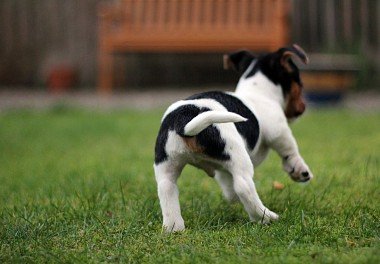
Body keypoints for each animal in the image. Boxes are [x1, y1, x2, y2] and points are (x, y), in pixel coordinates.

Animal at [153, 44, 314, 232]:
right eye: (300, 83)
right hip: (238, 156)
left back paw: (174, 228)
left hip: (167, 164)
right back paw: (265, 216)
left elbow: (229, 190)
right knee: (244, 186)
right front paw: (300, 171)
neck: (258, 91)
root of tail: (183, 119)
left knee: (167, 188)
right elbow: (291, 151)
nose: (303, 107)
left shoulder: (223, 169)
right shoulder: (280, 132)